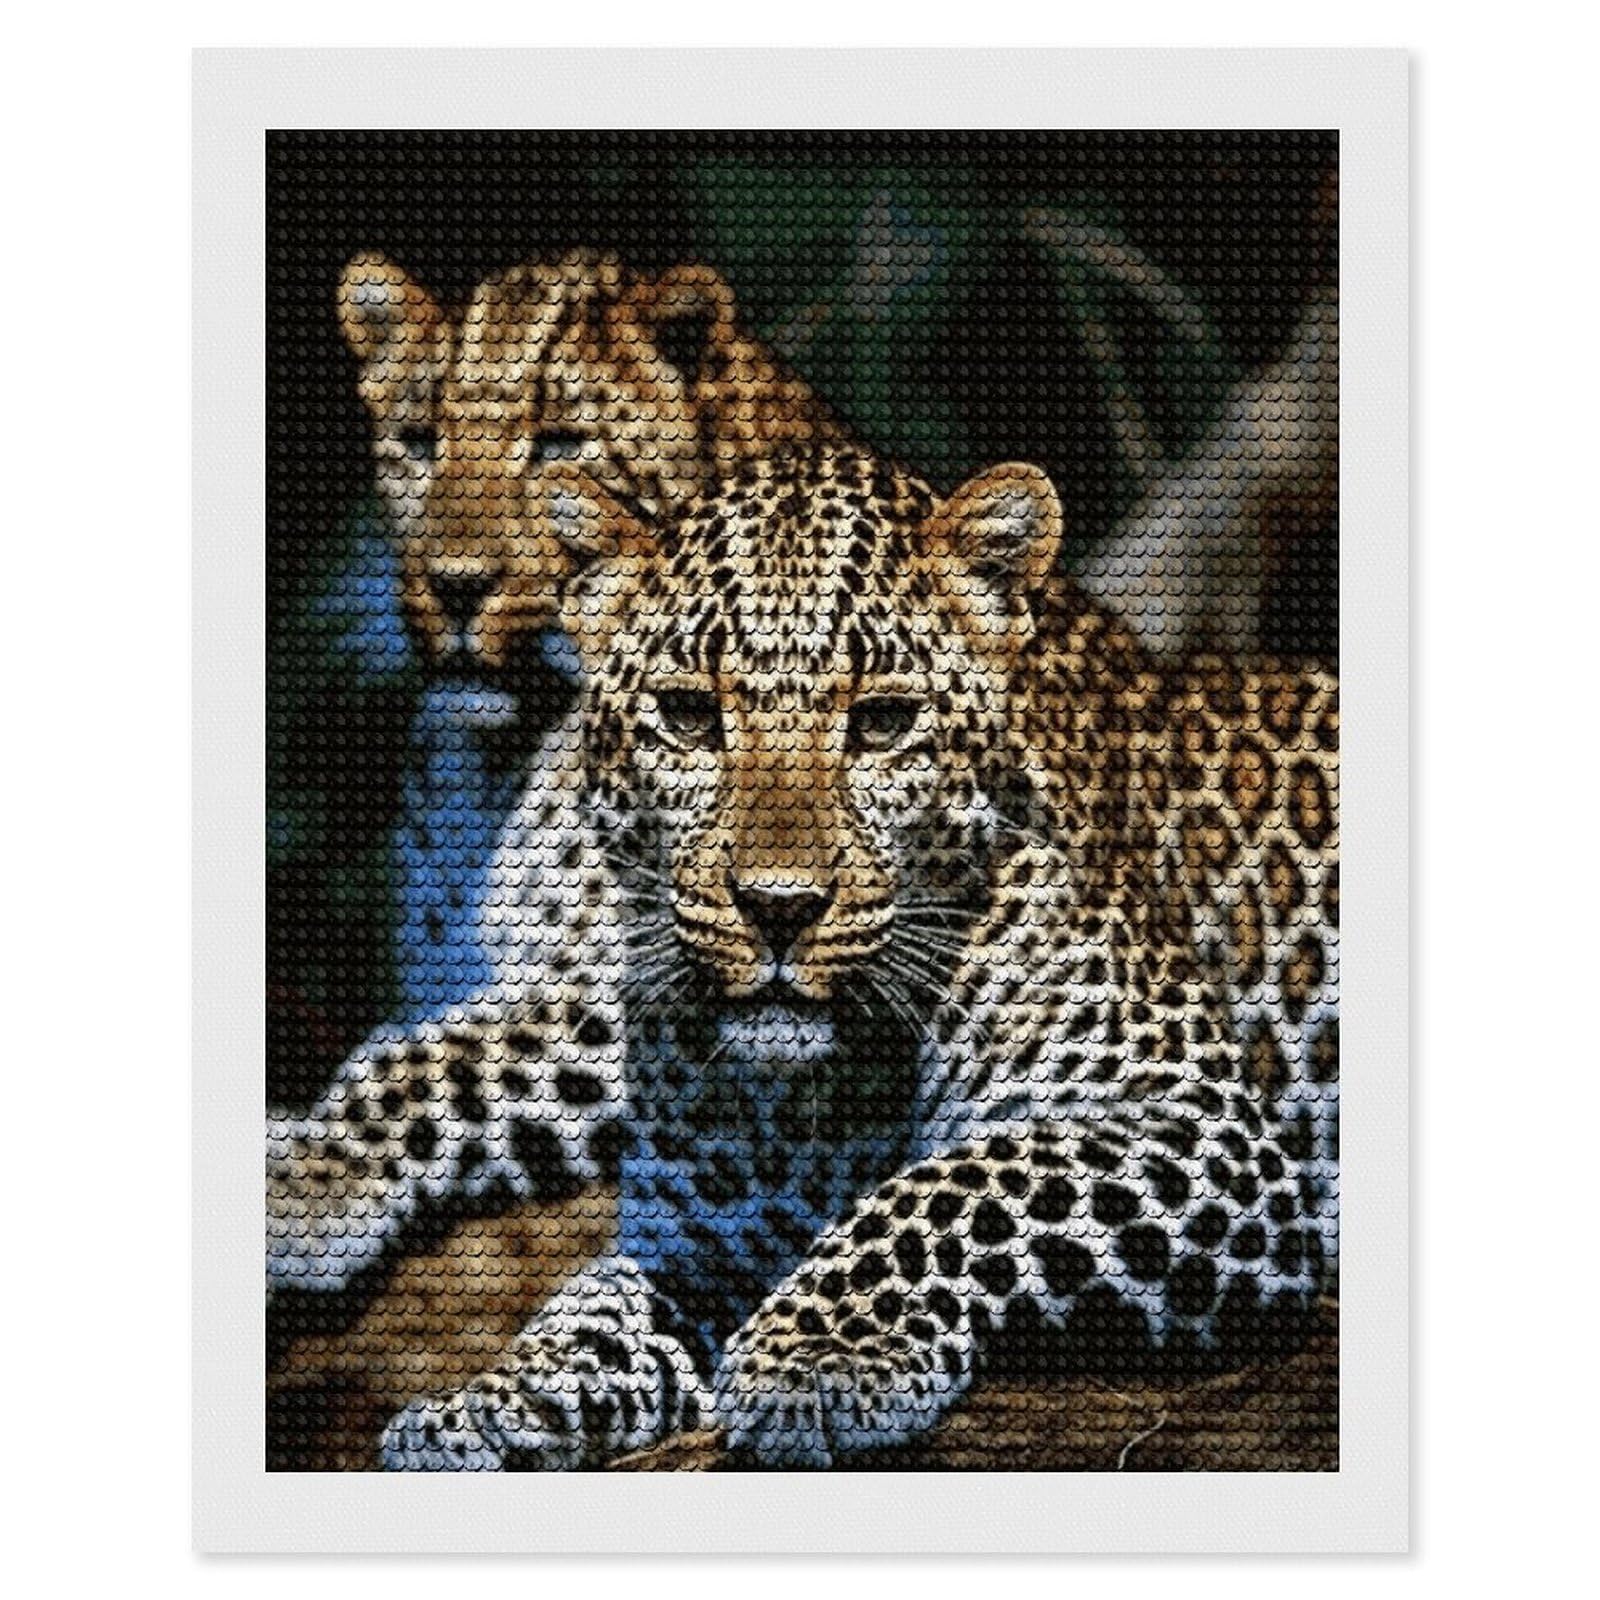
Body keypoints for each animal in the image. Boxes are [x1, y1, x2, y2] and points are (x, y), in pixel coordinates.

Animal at [268, 444, 1337, 1470]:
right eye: (689, 716)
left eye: (883, 722)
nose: (778, 908)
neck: (815, 1105)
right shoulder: (698, 1242)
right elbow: (590, 1305)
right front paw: (476, 1409)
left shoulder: (1202, 1125)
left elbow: (954, 1184)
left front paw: (815, 1357)